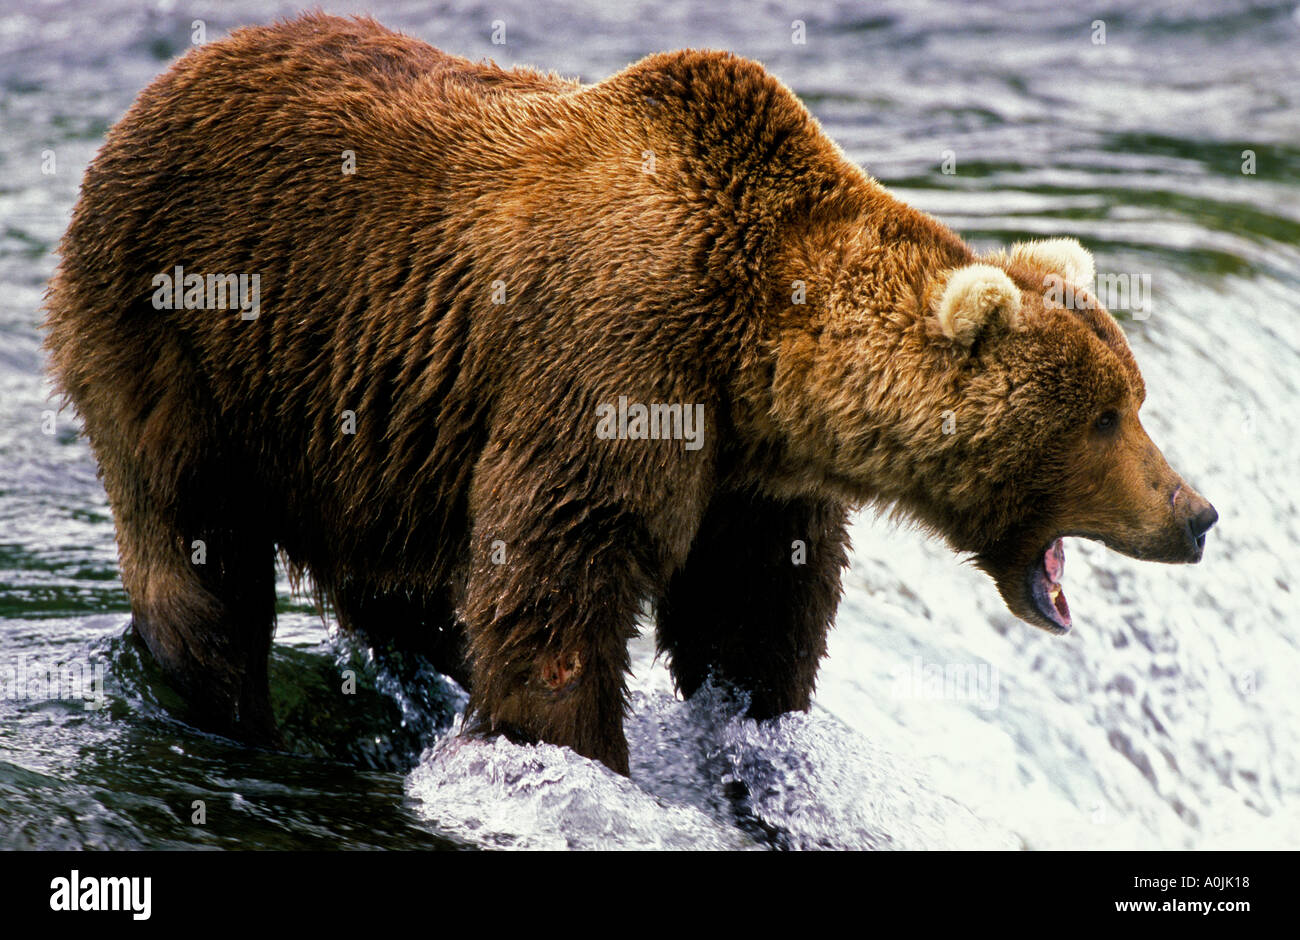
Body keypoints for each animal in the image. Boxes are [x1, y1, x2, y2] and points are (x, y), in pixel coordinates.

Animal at [44, 13, 1216, 775]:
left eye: (1136, 396)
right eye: (1106, 416)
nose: (1197, 512)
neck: (756, 348)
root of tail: (155, 93)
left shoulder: (750, 474)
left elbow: (752, 613)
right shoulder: (615, 366)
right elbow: (558, 587)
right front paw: (576, 754)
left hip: (367, 433)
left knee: (401, 580)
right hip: (178, 339)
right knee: (198, 555)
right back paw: (232, 713)